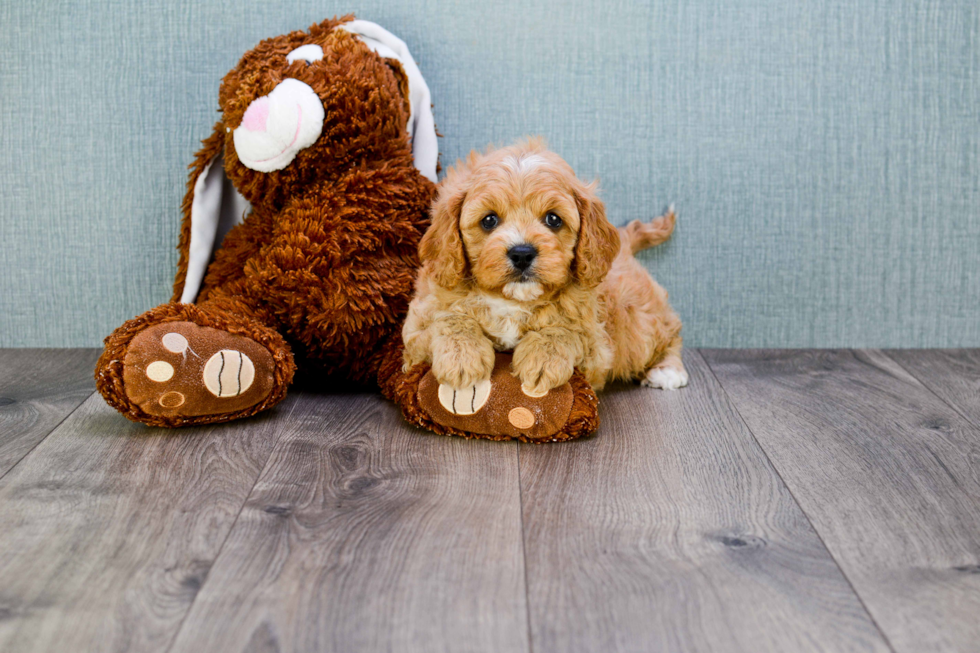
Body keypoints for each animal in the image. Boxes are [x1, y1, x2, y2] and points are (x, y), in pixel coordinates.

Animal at [402, 136, 684, 394]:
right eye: (489, 220)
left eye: (553, 219)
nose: (522, 253)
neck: (512, 300)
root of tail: (624, 242)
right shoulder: (418, 324)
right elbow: (448, 319)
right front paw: (461, 357)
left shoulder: (596, 343)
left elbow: (566, 330)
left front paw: (543, 360)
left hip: (637, 318)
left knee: (669, 330)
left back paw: (667, 370)